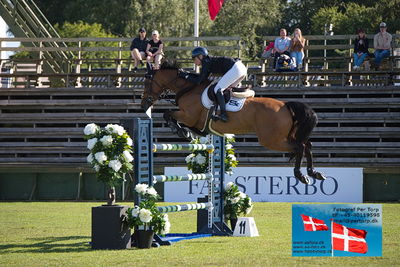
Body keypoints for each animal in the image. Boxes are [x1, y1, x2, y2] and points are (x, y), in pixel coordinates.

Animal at [141, 61, 324, 185]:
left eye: (147, 82)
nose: (143, 105)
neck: (188, 89)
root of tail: (286, 105)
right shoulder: (196, 123)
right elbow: (193, 128)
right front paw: (187, 132)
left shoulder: (188, 116)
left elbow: (168, 114)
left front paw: (179, 130)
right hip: (285, 136)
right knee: (307, 145)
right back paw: (314, 172)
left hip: (272, 140)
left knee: (300, 147)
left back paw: (301, 175)